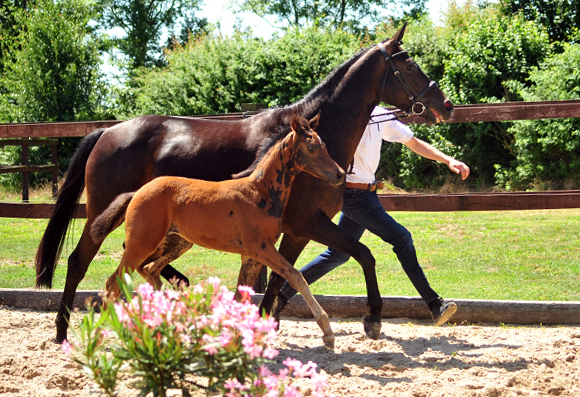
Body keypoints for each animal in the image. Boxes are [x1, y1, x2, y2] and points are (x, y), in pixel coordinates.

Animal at [92, 112, 342, 346]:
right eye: (311, 147)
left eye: (325, 145)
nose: (339, 174)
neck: (260, 192)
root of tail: (137, 192)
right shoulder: (259, 248)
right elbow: (295, 275)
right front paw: (327, 331)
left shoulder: (251, 256)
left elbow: (241, 294)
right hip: (142, 242)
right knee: (114, 282)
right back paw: (100, 332)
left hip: (176, 242)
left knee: (150, 269)